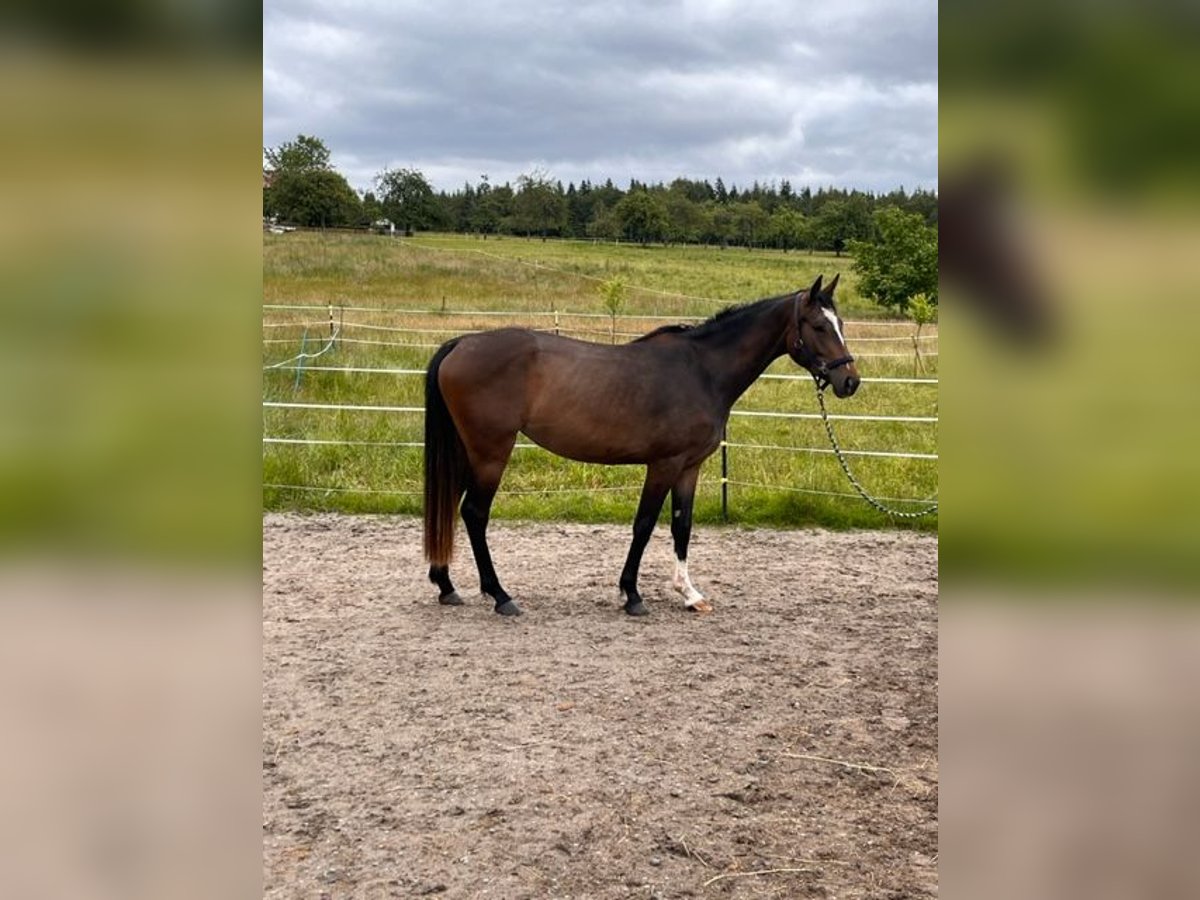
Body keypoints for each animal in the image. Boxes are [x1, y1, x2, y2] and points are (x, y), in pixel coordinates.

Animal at [422, 271, 854, 619]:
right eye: (818, 325)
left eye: (841, 323)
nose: (850, 380)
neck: (702, 371)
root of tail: (461, 343)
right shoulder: (664, 464)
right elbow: (644, 525)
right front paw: (632, 594)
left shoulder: (689, 467)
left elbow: (682, 525)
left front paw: (689, 594)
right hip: (491, 453)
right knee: (475, 513)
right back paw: (500, 596)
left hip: (468, 451)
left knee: (451, 505)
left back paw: (446, 586)